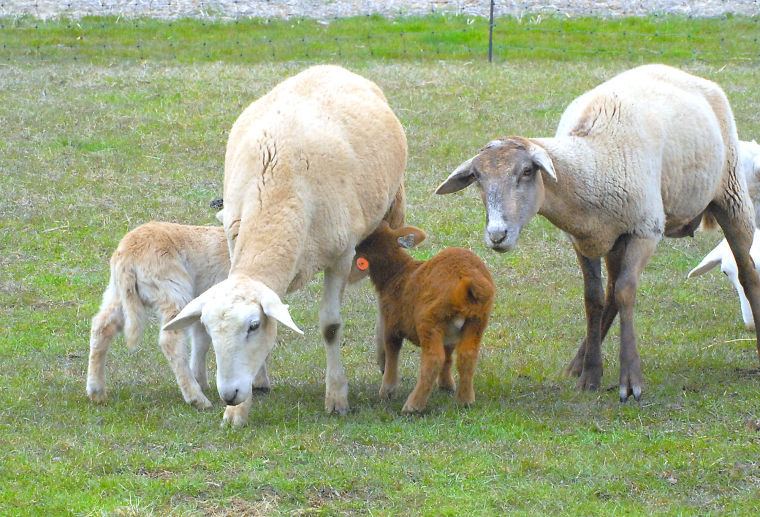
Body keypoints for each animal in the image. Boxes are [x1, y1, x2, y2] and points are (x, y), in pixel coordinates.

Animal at [164, 65, 407, 427]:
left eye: (252, 325)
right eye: (207, 327)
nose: (229, 394)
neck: (277, 190)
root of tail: (330, 66)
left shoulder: (341, 254)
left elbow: (331, 326)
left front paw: (337, 397)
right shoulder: (235, 241)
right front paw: (239, 409)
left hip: (392, 208)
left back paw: (381, 356)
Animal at [354, 221, 495, 413]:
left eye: (369, 237)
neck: (396, 274)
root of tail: (467, 280)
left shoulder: (391, 323)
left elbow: (392, 354)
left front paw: (387, 391)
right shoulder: (449, 335)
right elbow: (449, 355)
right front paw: (446, 385)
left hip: (430, 319)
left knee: (433, 360)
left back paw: (413, 406)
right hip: (477, 321)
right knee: (467, 355)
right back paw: (465, 400)